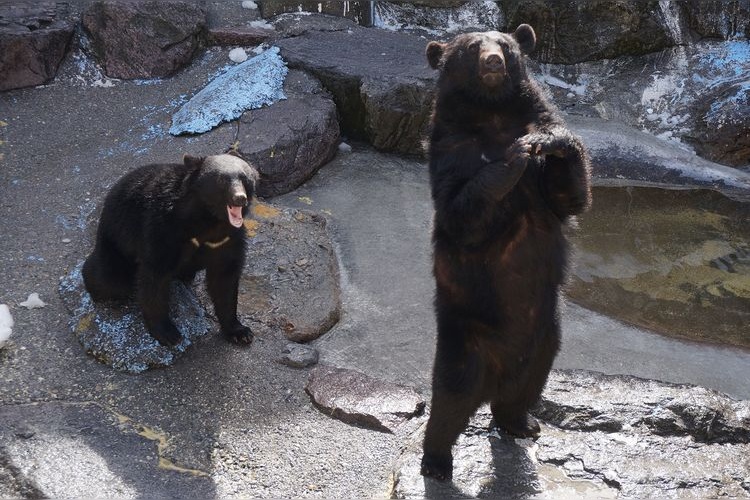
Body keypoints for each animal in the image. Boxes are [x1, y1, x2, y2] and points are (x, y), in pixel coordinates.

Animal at [83, 154, 260, 346]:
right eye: (222, 180)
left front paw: (240, 332)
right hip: (114, 244)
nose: (239, 198)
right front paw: (168, 334)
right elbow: (154, 276)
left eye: (245, 179)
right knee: (107, 278)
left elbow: (225, 278)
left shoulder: (228, 239)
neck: (210, 221)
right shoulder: (162, 228)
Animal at [424, 25, 592, 482]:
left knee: (526, 388)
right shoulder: (452, 152)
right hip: (465, 338)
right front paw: (512, 158)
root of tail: (496, 377)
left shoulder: (540, 143)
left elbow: (571, 194)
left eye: (505, 45)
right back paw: (437, 461)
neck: (493, 114)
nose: (493, 62)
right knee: (450, 399)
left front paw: (548, 141)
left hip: (547, 338)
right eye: (471, 48)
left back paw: (522, 422)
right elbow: (461, 212)